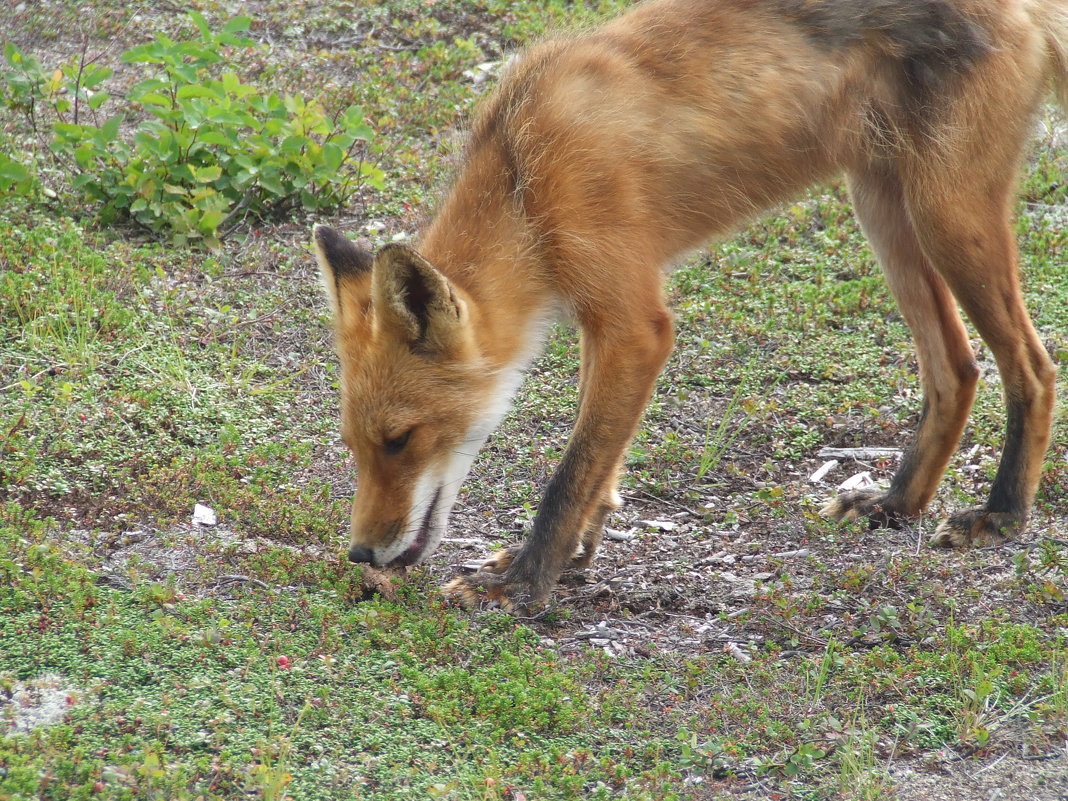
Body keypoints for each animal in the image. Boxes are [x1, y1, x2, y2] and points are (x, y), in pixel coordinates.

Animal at [316, 0, 1068, 610]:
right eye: (354, 445)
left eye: (399, 440)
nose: (360, 553)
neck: (526, 179)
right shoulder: (604, 320)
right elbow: (602, 460)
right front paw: (576, 553)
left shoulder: (637, 323)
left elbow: (571, 472)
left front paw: (523, 584)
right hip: (883, 210)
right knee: (957, 371)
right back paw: (897, 503)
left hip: (946, 218)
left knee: (1032, 367)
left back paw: (1002, 516)